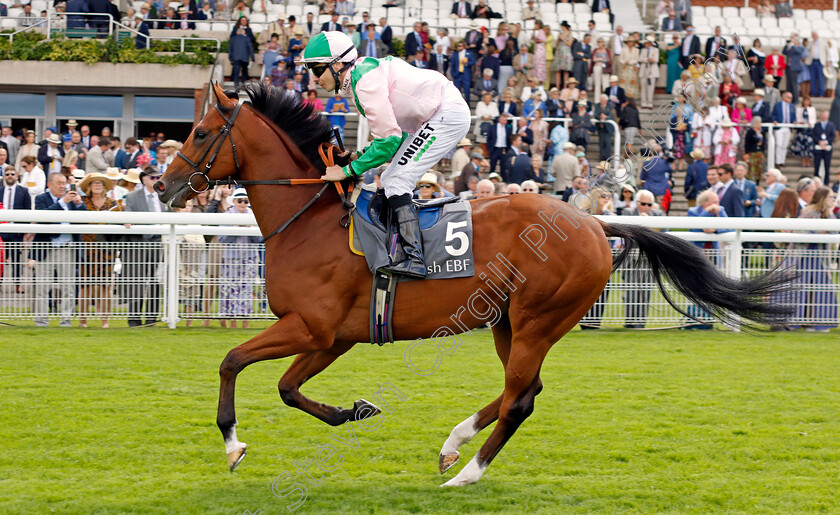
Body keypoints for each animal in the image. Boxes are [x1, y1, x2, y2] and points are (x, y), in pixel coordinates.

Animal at [154, 81, 792, 488]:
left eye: (202, 132)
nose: (161, 185)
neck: (308, 222)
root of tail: (593, 221)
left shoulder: (309, 326)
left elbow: (232, 361)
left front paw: (233, 444)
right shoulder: (332, 336)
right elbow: (288, 388)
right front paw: (355, 410)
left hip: (538, 319)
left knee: (519, 399)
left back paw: (465, 473)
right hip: (510, 321)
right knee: (523, 391)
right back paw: (453, 446)